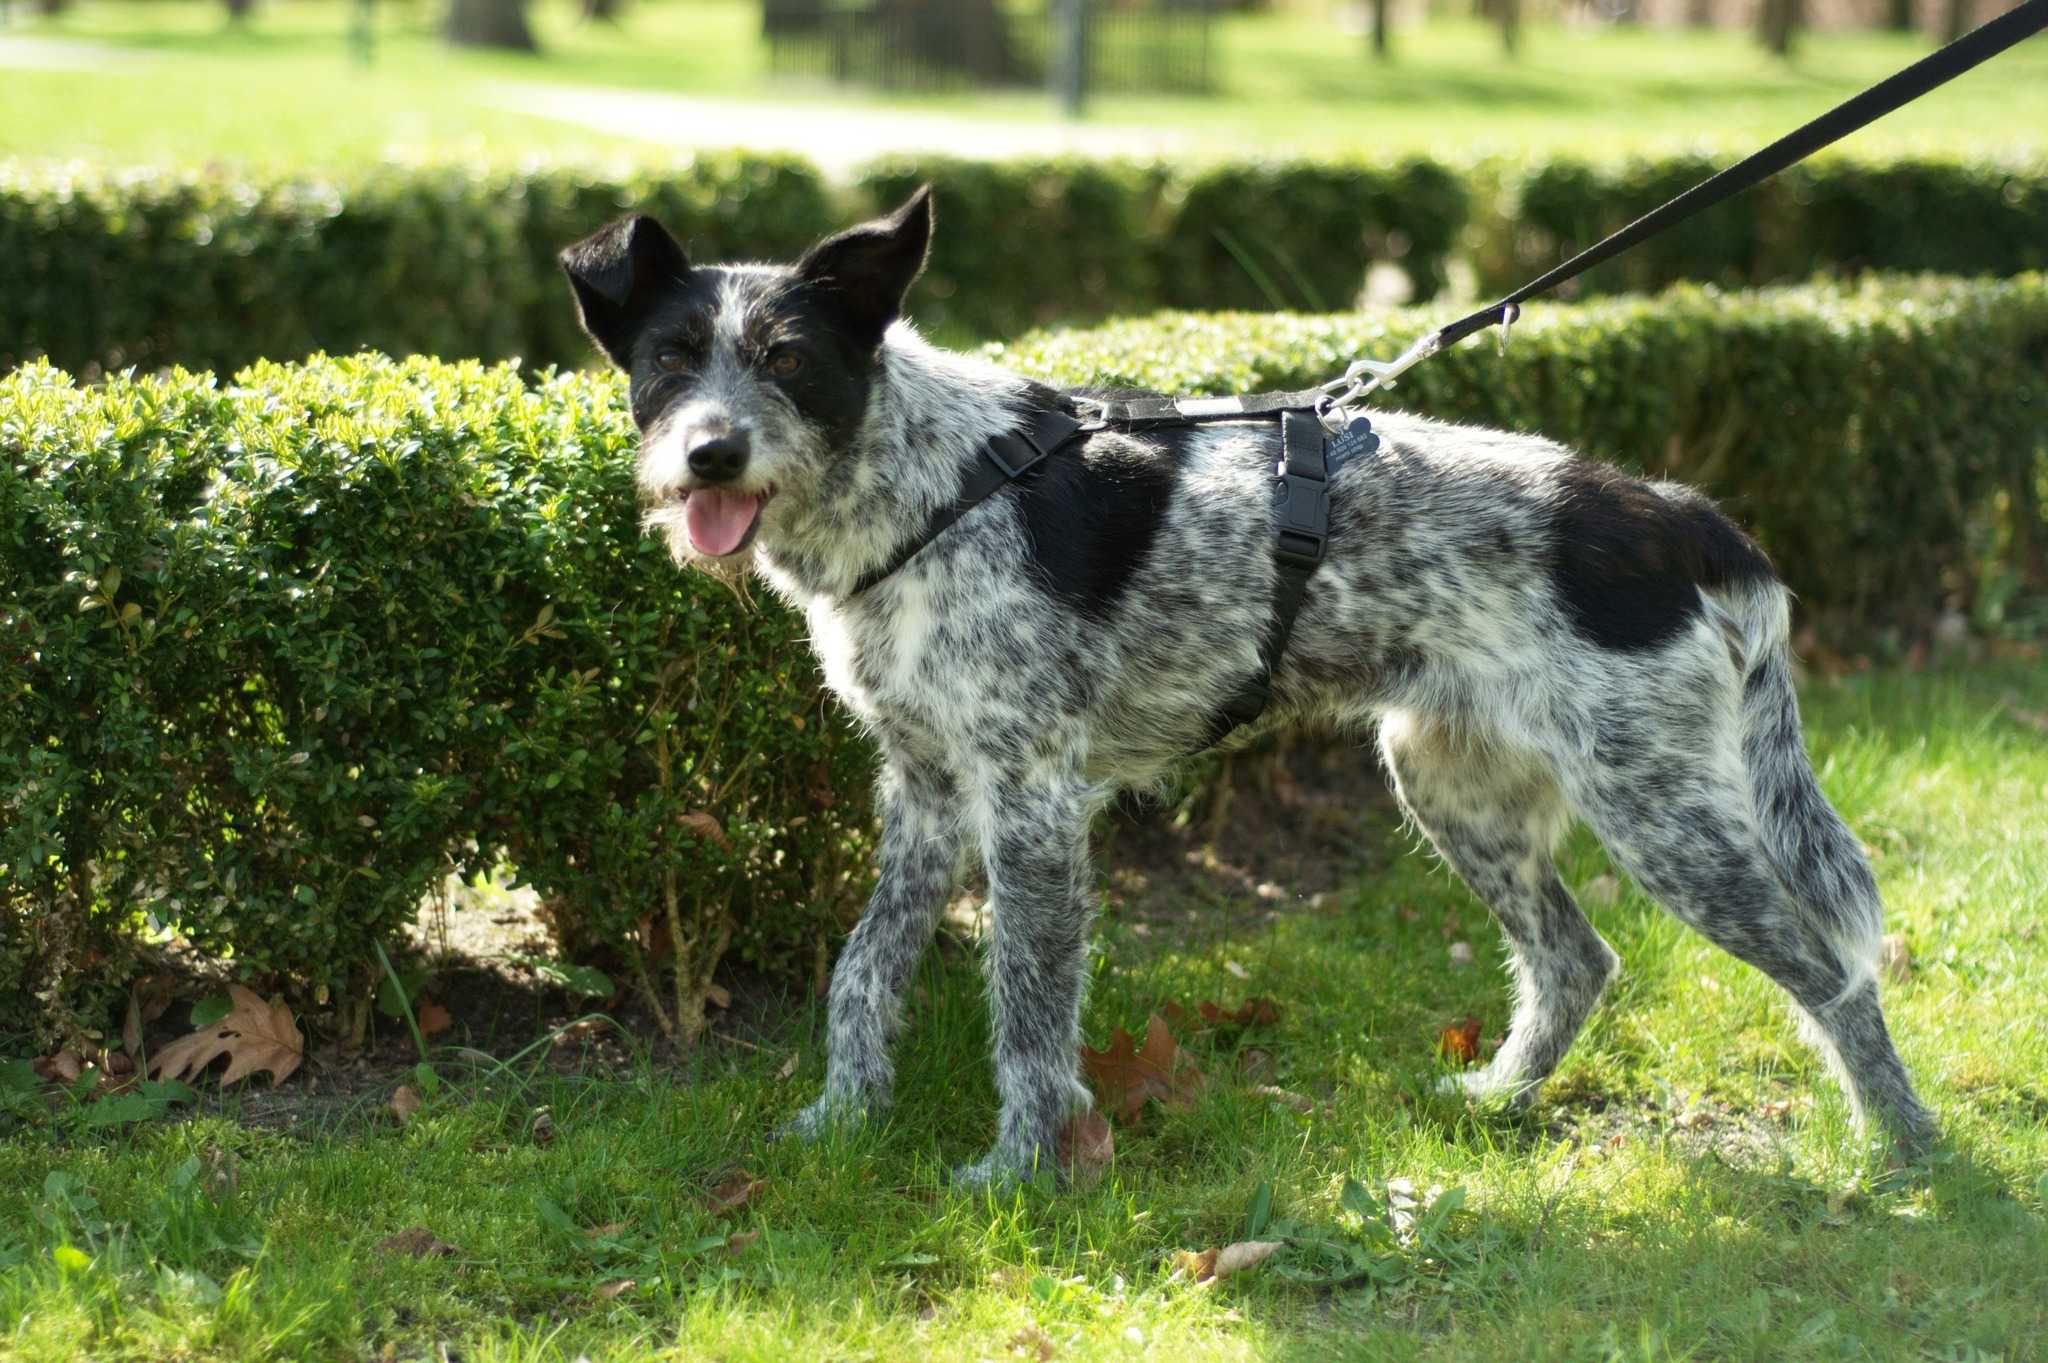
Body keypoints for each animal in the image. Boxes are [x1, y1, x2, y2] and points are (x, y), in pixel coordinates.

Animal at [561, 188, 1933, 1178]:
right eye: (670, 358)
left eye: (789, 358)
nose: (709, 453)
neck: (933, 485)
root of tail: (1677, 515)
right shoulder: (925, 792)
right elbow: (861, 971)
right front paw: (842, 1124)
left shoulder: (1030, 802)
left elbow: (1027, 1006)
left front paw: (1020, 1169)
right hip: (1452, 787)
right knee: (1575, 958)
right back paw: (1501, 1095)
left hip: (1661, 816)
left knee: (1831, 972)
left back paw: (1905, 1150)